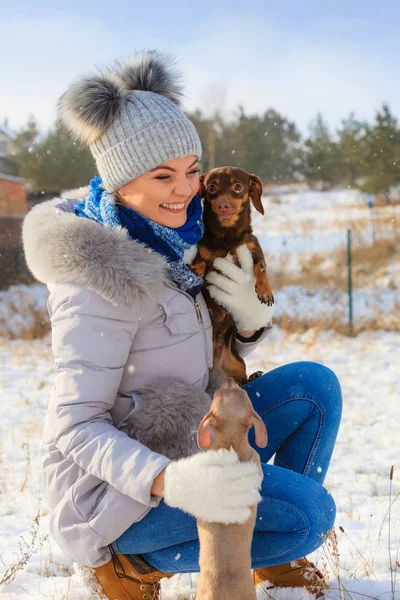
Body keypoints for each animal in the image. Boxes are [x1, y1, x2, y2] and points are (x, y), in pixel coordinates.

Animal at [191, 166, 274, 386]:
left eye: (238, 186)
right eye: (212, 187)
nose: (222, 204)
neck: (227, 236)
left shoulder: (254, 251)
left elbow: (261, 269)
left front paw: (265, 291)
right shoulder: (204, 251)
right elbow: (201, 260)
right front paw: (195, 270)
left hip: (237, 364)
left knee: (243, 382)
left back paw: (254, 375)